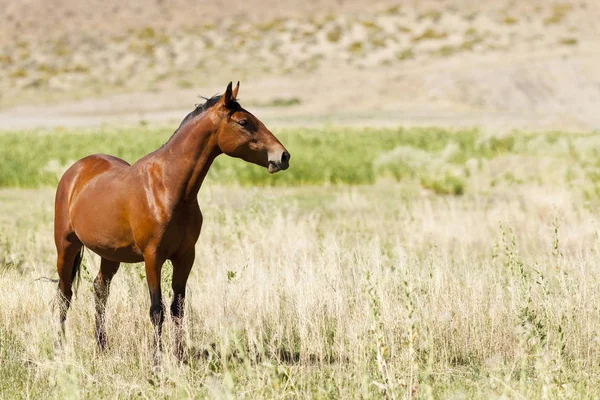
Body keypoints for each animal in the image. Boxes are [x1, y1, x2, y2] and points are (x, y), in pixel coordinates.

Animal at [54, 81, 290, 362]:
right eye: (244, 122)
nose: (283, 156)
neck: (168, 188)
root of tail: (75, 171)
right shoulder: (153, 257)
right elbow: (157, 310)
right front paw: (157, 361)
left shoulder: (185, 256)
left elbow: (178, 307)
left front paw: (179, 356)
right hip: (66, 247)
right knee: (64, 294)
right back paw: (60, 346)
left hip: (110, 255)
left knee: (100, 290)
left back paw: (102, 347)